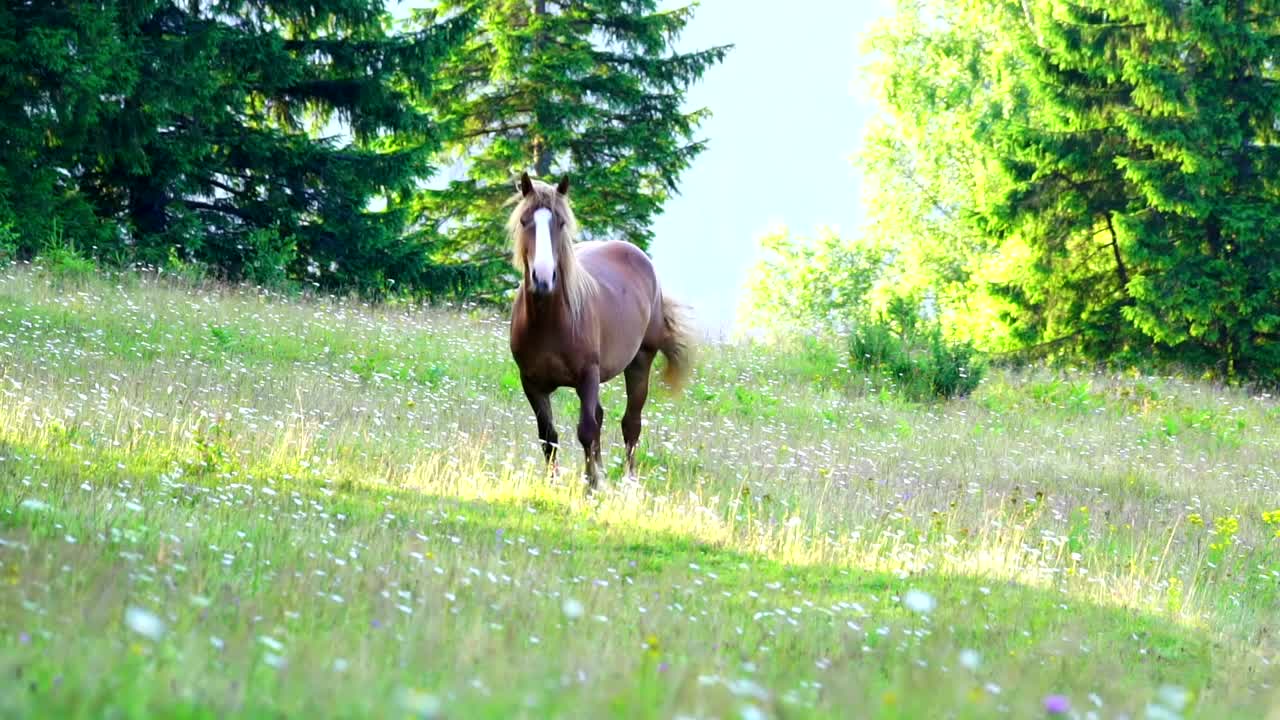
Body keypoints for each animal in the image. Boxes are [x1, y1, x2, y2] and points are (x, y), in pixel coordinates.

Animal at [508, 172, 693, 489]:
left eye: (561, 222)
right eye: (524, 221)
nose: (543, 278)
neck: (550, 322)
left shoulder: (588, 376)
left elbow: (586, 429)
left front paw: (592, 485)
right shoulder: (531, 383)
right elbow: (548, 436)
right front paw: (554, 483)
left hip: (640, 361)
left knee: (630, 424)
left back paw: (629, 482)